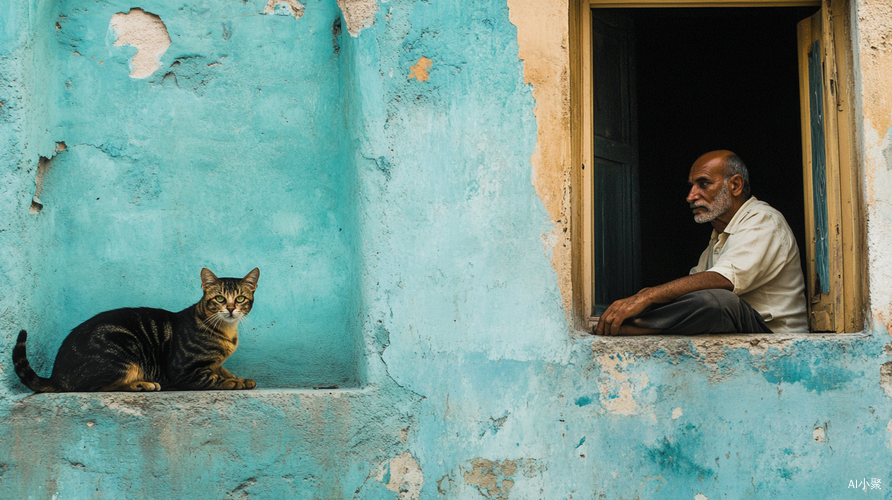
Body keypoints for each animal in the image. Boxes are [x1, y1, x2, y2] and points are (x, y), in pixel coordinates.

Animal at [13, 268, 258, 392]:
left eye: (240, 299)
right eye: (219, 299)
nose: (231, 308)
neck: (227, 332)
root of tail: (56, 376)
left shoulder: (216, 364)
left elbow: (223, 371)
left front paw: (242, 378)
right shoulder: (183, 370)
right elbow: (213, 377)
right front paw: (235, 382)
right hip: (122, 349)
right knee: (98, 387)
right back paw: (140, 384)